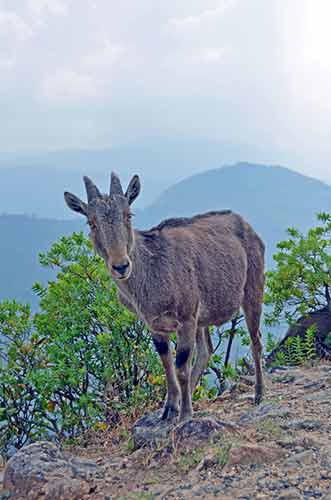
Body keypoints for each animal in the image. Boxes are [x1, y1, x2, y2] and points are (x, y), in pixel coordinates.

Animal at [65, 174, 266, 420]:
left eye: (128, 214)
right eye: (91, 222)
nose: (121, 266)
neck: (152, 274)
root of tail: (246, 224)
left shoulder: (186, 317)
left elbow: (181, 366)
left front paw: (185, 414)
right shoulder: (156, 324)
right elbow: (167, 364)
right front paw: (170, 407)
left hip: (252, 289)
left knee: (256, 341)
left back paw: (259, 394)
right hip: (202, 318)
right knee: (206, 350)